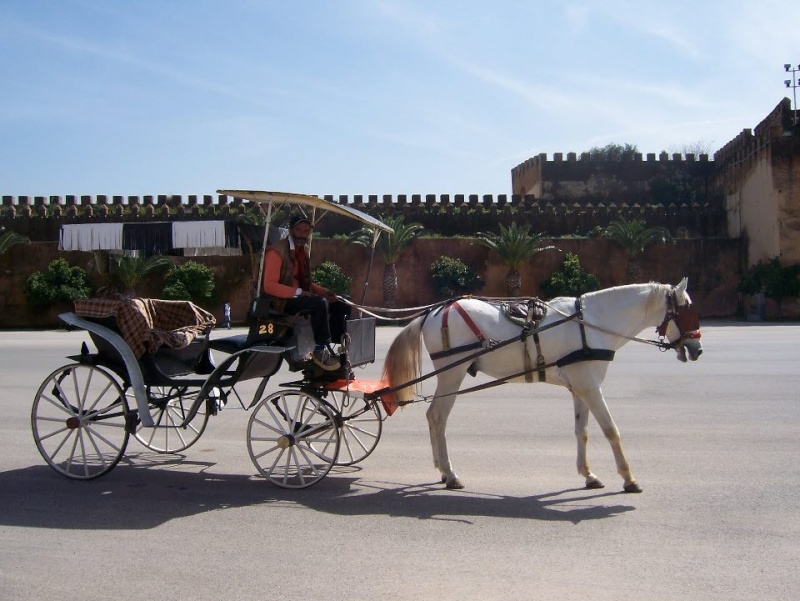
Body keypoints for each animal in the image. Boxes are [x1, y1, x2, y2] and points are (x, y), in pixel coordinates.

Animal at [382, 278, 700, 490]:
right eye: (686, 310)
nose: (697, 349)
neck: (590, 323)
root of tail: (434, 312)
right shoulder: (591, 387)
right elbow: (611, 430)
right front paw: (628, 478)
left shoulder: (580, 386)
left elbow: (582, 432)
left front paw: (588, 474)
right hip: (453, 372)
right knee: (437, 416)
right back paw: (450, 473)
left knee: (434, 417)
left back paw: (442, 470)